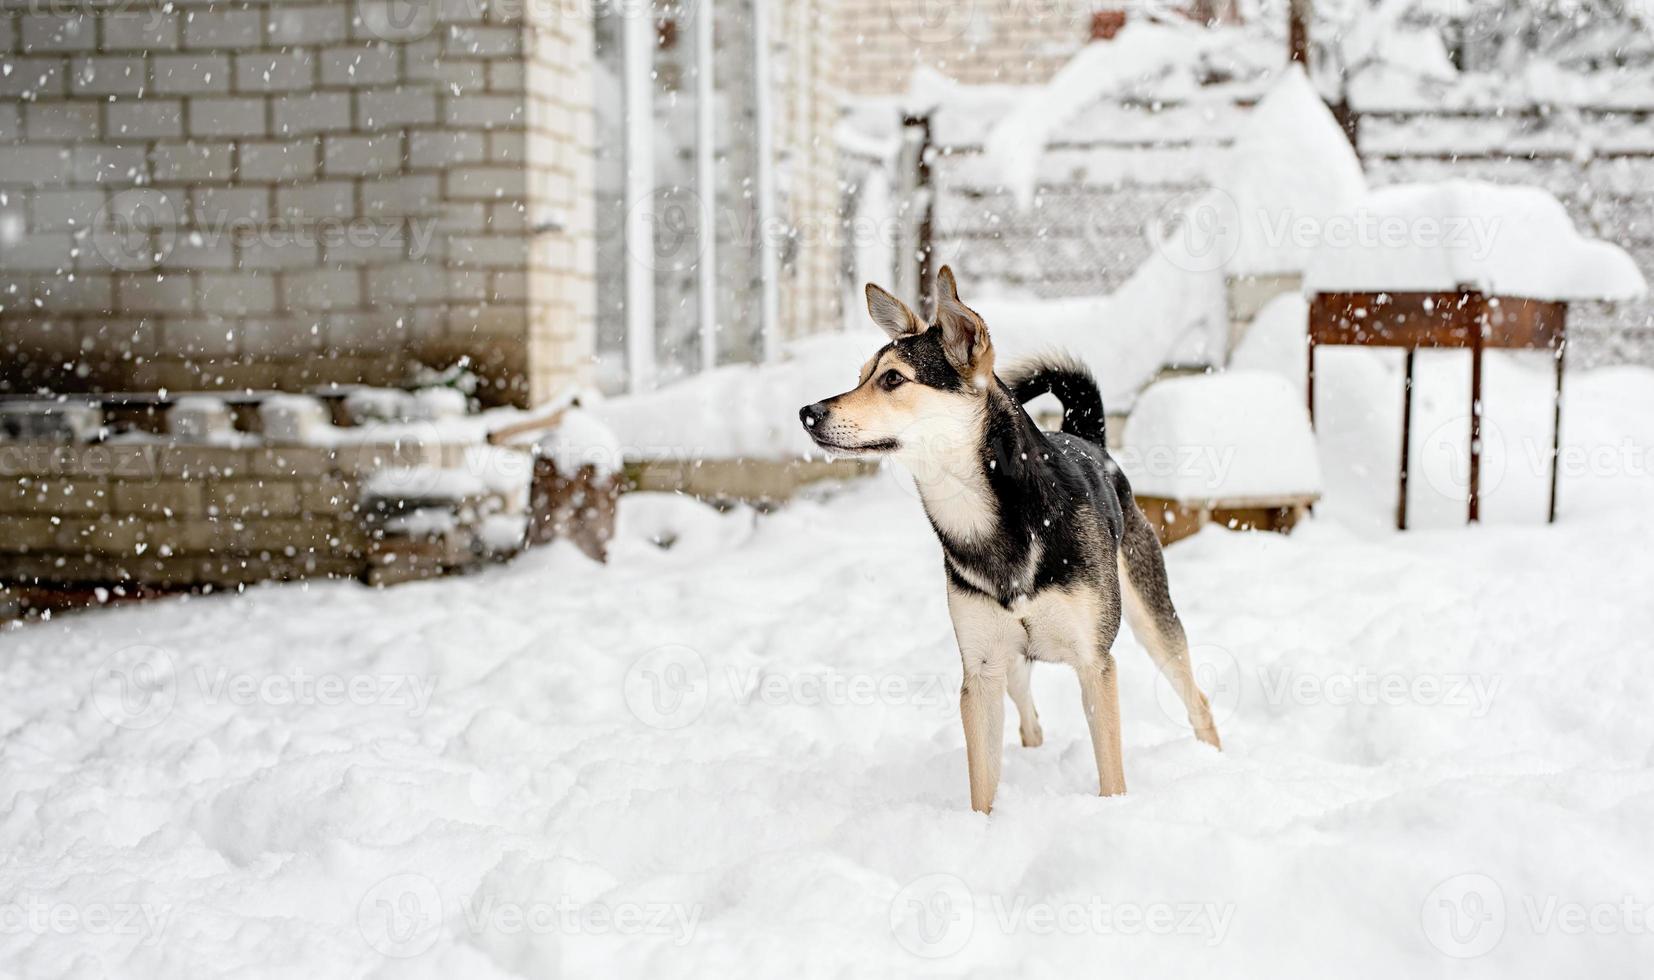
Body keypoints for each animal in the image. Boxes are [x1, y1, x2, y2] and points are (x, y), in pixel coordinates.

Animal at [793, 266, 1223, 809]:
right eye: (861, 376)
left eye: (892, 379)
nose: (807, 412)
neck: (985, 518)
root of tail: (1086, 437)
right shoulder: (979, 670)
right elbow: (982, 781)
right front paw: (982, 826)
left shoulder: (1095, 663)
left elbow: (1111, 771)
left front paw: (1112, 812)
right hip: (1011, 660)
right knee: (1029, 719)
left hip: (1151, 616)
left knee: (1196, 696)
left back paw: (1215, 759)